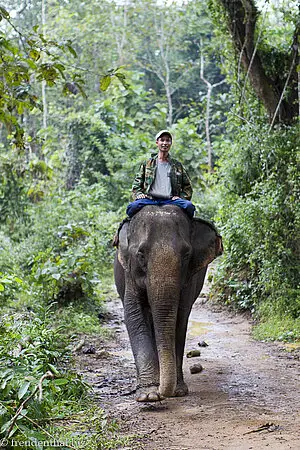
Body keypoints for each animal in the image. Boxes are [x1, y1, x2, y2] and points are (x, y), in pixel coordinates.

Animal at [113, 206, 221, 402]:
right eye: (141, 254)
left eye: (186, 255)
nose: (163, 393)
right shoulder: (130, 274)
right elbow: (134, 315)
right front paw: (148, 395)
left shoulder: (189, 278)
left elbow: (180, 317)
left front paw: (178, 391)